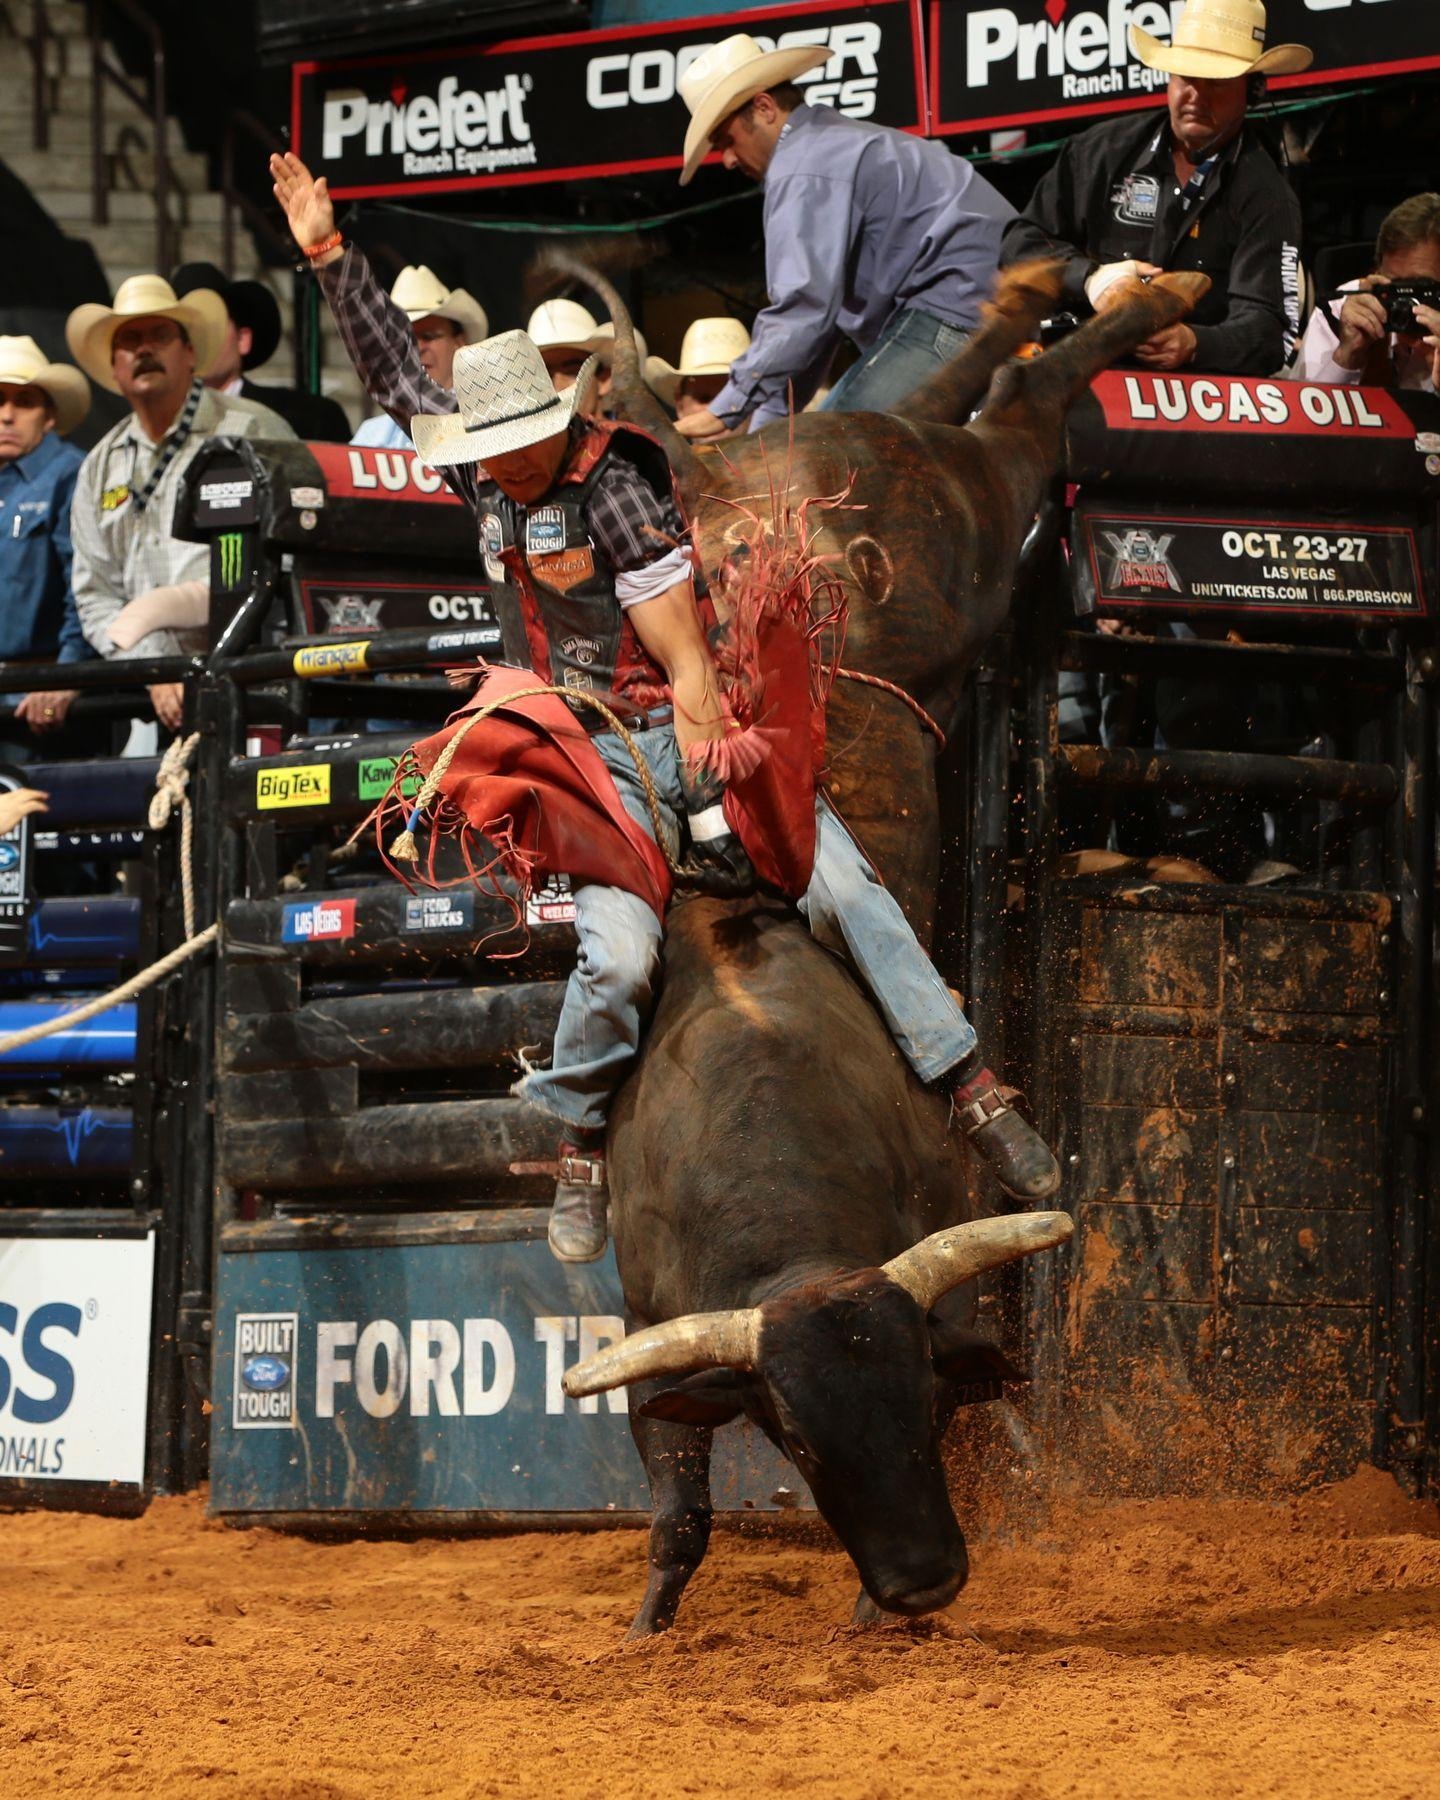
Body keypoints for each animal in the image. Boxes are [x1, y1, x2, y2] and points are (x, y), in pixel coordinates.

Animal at [532, 262, 1202, 1634]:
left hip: (973, 514)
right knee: (983, 376)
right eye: (794, 1431)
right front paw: (648, 1625)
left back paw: (1134, 291)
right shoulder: (655, 1324)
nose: (924, 1576)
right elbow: (678, 1503)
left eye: (920, 1397)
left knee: (1025, 398)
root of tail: (769, 467)